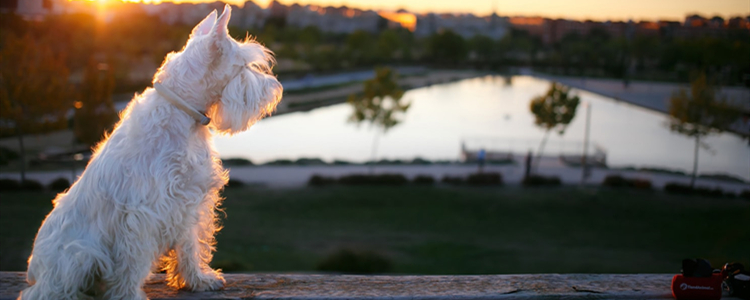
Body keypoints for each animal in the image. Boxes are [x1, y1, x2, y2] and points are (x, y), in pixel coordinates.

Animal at [21, 5, 284, 300]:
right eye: (244, 65)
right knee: (51, 290)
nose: (275, 89)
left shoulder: (187, 201)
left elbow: (190, 247)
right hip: (79, 255)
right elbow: (132, 263)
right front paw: (129, 294)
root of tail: (32, 271)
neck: (182, 112)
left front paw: (198, 279)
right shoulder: (143, 213)